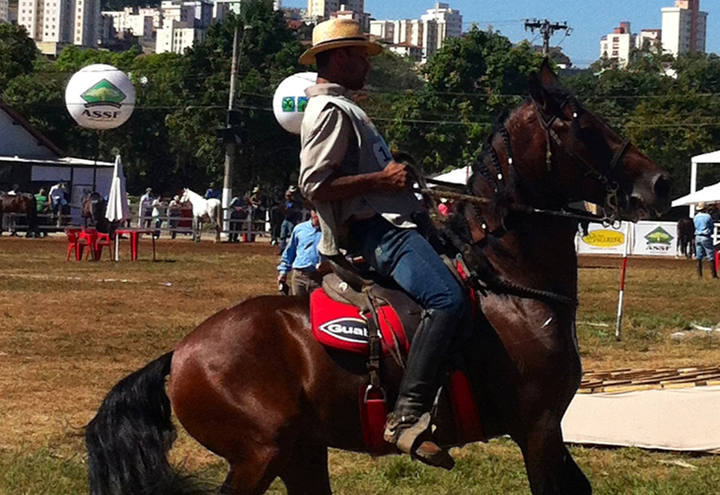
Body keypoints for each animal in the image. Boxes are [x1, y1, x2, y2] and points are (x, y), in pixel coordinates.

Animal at [87, 63, 672, 495]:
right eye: (582, 124)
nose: (660, 181)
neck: (510, 287)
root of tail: (180, 353)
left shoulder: (545, 432)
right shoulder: (539, 429)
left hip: (301, 453)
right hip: (260, 456)